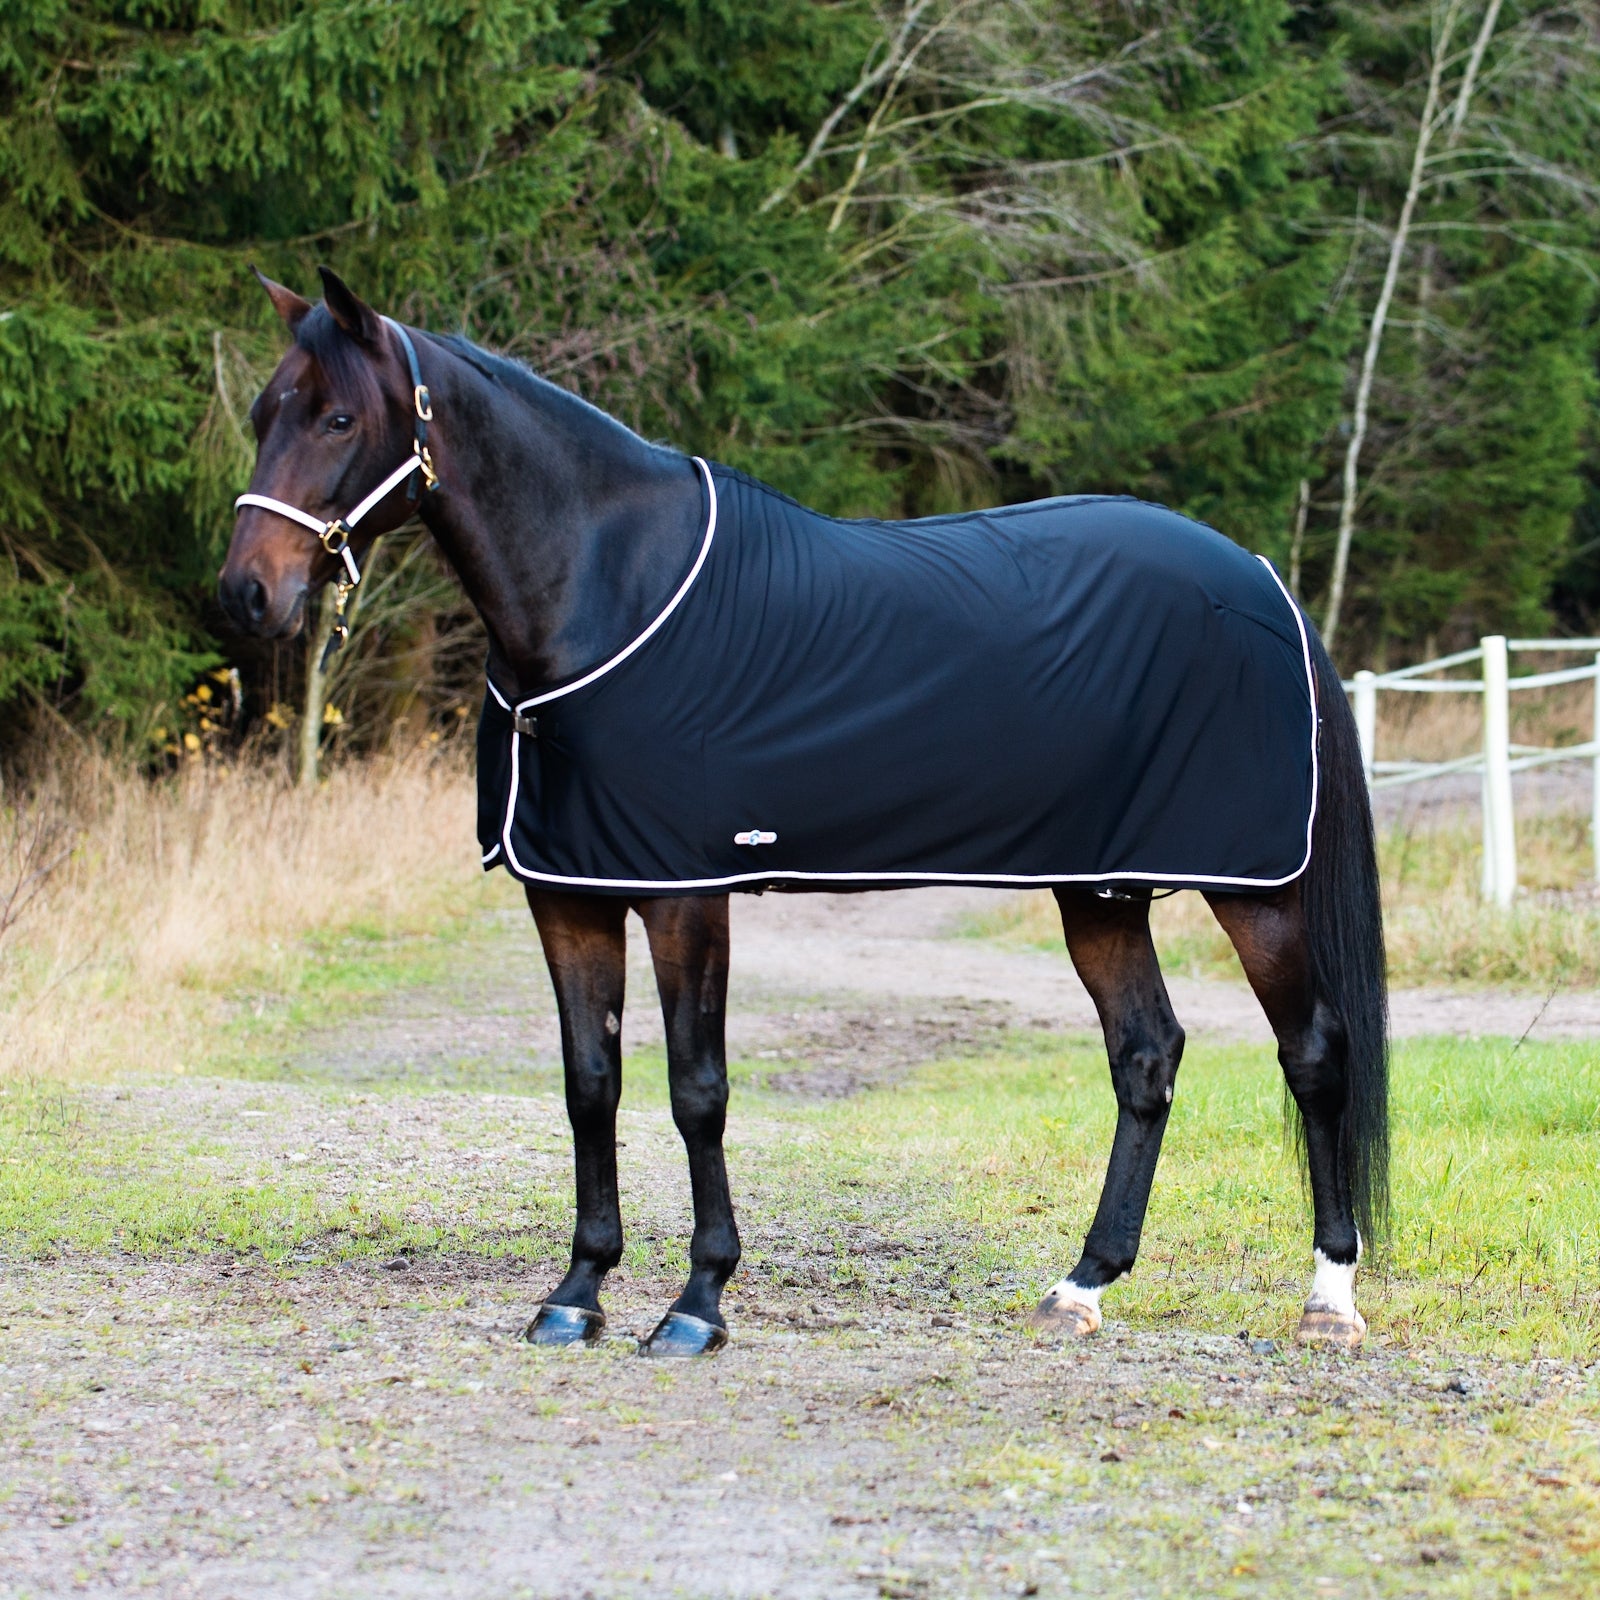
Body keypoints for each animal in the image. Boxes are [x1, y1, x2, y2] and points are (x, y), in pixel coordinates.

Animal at [220, 267, 1387, 1358]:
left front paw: (697, 1304)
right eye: (265, 411)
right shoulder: (571, 892)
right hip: (1099, 886)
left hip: (1256, 891)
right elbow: (590, 1082)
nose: (246, 594)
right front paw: (577, 1293)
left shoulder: (686, 893)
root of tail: (1262, 580)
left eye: (338, 418)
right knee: (1145, 1056)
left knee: (1314, 1054)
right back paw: (1081, 1286)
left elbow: (696, 1089)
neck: (605, 593)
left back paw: (1329, 1299)